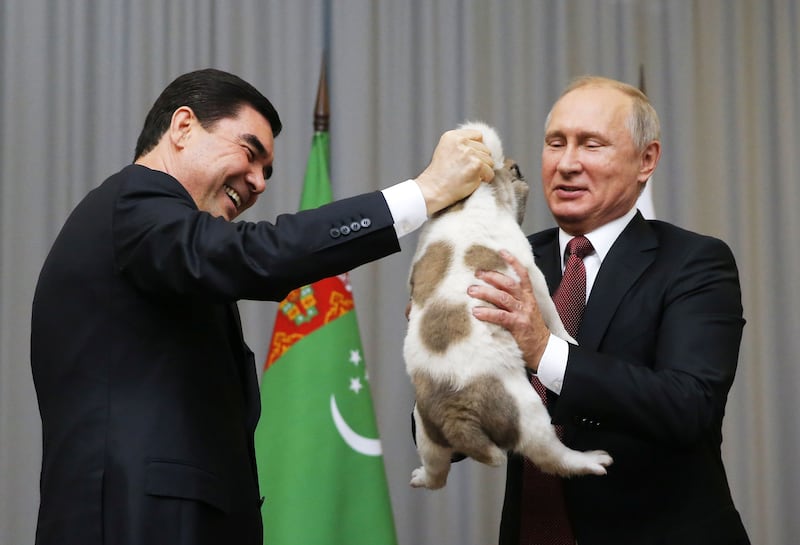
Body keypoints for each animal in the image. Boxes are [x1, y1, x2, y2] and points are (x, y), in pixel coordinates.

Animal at [406, 121, 612, 486]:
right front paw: (568, 340)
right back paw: (589, 461)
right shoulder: (531, 274)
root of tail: (457, 414)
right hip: (525, 411)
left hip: (428, 431)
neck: (469, 202)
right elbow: (552, 315)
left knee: (437, 472)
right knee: (551, 455)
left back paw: (421, 477)